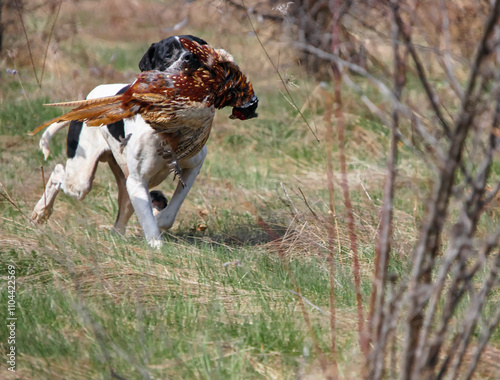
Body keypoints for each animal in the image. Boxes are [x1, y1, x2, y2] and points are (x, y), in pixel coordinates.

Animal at [31, 35, 252, 248]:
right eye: (167, 54)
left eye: (196, 48)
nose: (189, 58)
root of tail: (88, 98)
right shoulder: (137, 181)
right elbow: (148, 220)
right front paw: (156, 244)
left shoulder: (193, 166)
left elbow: (169, 213)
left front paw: (160, 218)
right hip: (81, 179)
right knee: (59, 172)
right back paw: (40, 212)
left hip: (121, 183)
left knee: (122, 216)